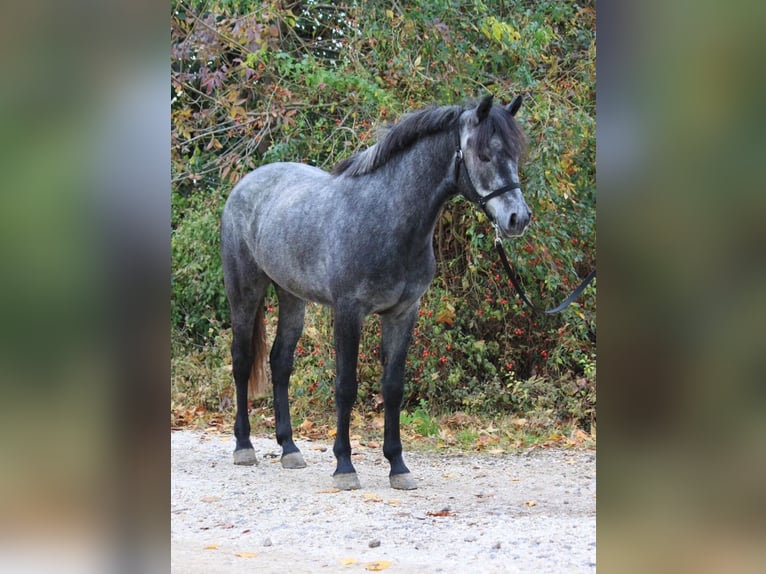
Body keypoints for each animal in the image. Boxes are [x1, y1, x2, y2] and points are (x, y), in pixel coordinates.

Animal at [220, 94, 530, 490]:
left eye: (515, 155)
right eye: (484, 155)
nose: (518, 219)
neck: (388, 216)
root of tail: (245, 184)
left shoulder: (403, 313)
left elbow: (393, 388)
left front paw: (398, 466)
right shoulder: (348, 312)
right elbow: (345, 386)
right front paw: (344, 466)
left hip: (292, 298)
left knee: (280, 363)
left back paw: (289, 448)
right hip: (245, 293)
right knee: (242, 362)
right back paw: (243, 445)